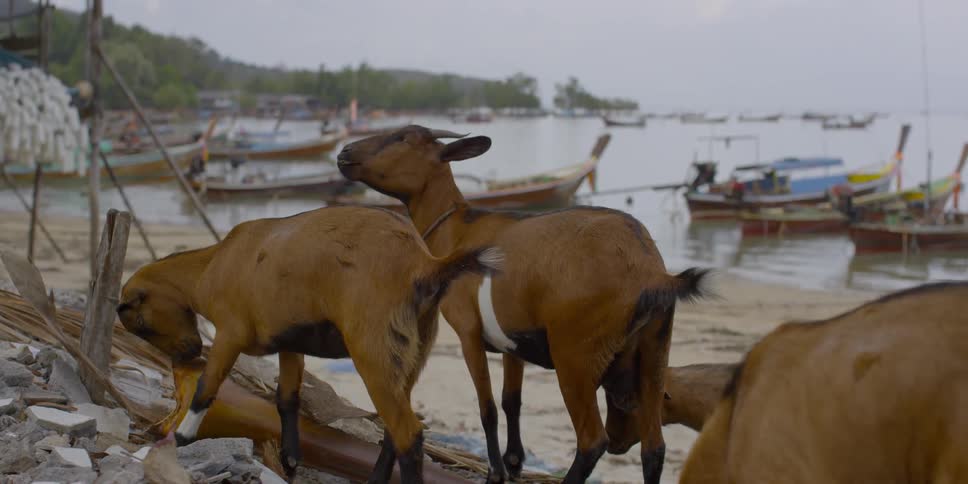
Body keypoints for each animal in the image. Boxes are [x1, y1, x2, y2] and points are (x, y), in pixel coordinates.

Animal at [116, 206, 502, 483]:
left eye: (142, 325)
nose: (187, 356)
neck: (211, 264)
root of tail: (424, 263)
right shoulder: (290, 342)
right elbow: (286, 398)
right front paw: (289, 457)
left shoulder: (229, 335)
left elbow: (205, 391)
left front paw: (179, 439)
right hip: (410, 355)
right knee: (397, 431)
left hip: (374, 353)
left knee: (409, 435)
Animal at [337, 125, 710, 484]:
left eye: (402, 137)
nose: (344, 153)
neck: (457, 229)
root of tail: (651, 271)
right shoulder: (511, 343)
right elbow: (510, 401)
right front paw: (514, 462)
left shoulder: (468, 332)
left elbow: (487, 406)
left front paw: (496, 472)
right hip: (654, 354)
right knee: (654, 448)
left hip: (576, 357)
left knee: (592, 440)